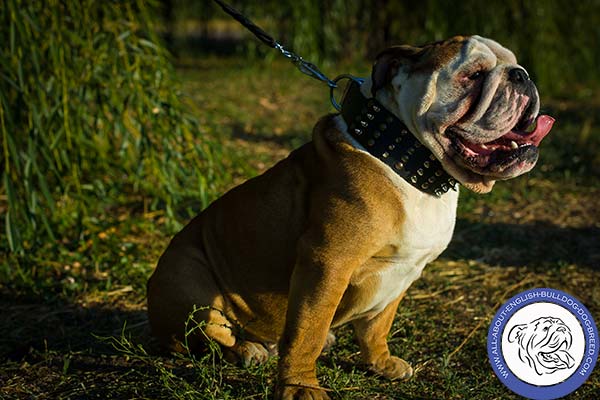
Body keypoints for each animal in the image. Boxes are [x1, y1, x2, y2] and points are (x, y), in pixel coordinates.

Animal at [148, 36, 556, 398]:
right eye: (473, 75)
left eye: (514, 63)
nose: (522, 75)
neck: (402, 155)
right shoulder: (327, 263)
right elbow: (306, 333)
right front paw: (299, 387)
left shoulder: (402, 273)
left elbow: (377, 326)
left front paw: (380, 363)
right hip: (189, 278)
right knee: (208, 336)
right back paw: (247, 349)